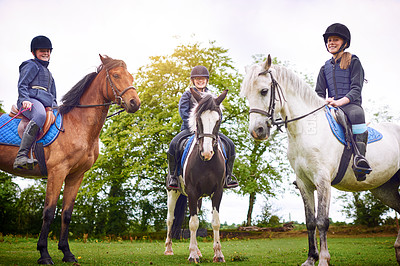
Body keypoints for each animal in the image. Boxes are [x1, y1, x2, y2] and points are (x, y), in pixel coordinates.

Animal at [0, 55, 141, 264]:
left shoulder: (76, 176)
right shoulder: (57, 173)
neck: (78, 123)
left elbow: (66, 214)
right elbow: (49, 212)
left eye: (130, 76)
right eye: (116, 75)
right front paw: (44, 254)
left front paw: (67, 253)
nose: (134, 103)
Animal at [239, 55, 400, 264]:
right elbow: (310, 221)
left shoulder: (322, 180)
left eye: (264, 91)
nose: (256, 131)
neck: (305, 130)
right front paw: (310, 258)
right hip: (384, 189)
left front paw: (323, 259)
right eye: (246, 95)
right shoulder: (304, 183)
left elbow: (322, 221)